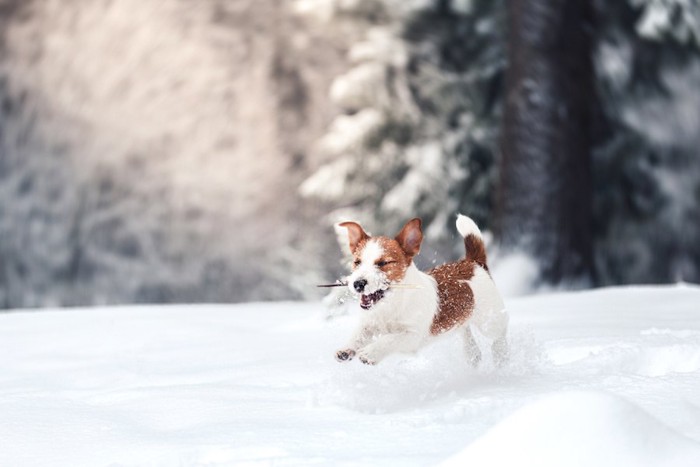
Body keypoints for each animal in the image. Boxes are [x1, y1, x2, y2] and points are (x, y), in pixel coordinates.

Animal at [334, 215, 506, 366]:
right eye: (357, 262)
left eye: (383, 263)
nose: (358, 284)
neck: (391, 303)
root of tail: (473, 263)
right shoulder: (370, 323)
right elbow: (358, 335)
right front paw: (346, 349)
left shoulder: (411, 336)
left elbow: (389, 339)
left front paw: (370, 353)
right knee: (465, 328)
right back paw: (472, 353)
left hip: (490, 322)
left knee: (501, 332)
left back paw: (501, 355)